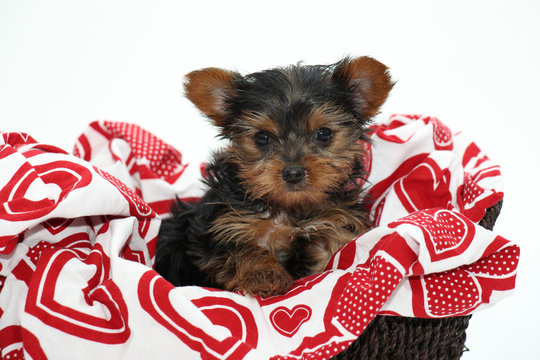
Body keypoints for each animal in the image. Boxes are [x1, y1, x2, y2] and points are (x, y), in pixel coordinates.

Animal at [155, 55, 392, 296]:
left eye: (324, 133)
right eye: (262, 137)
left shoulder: (334, 221)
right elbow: (243, 250)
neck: (288, 210)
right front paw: (267, 277)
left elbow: (334, 247)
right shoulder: (219, 228)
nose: (293, 173)